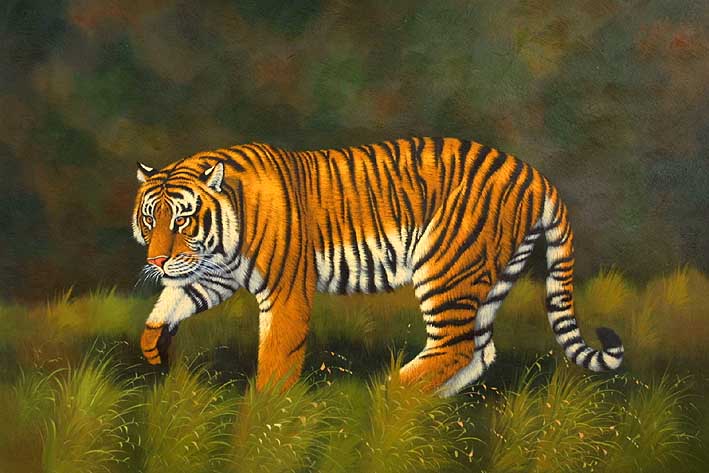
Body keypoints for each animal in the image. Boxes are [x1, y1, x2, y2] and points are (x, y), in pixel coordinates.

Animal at [133, 137, 624, 396]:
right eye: (149, 218)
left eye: (181, 219)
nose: (156, 259)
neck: (221, 239)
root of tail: (533, 173)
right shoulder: (214, 274)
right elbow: (176, 297)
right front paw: (154, 344)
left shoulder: (285, 288)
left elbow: (277, 353)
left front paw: (267, 408)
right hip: (490, 280)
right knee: (478, 352)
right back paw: (421, 406)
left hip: (445, 269)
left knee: (456, 347)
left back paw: (393, 393)